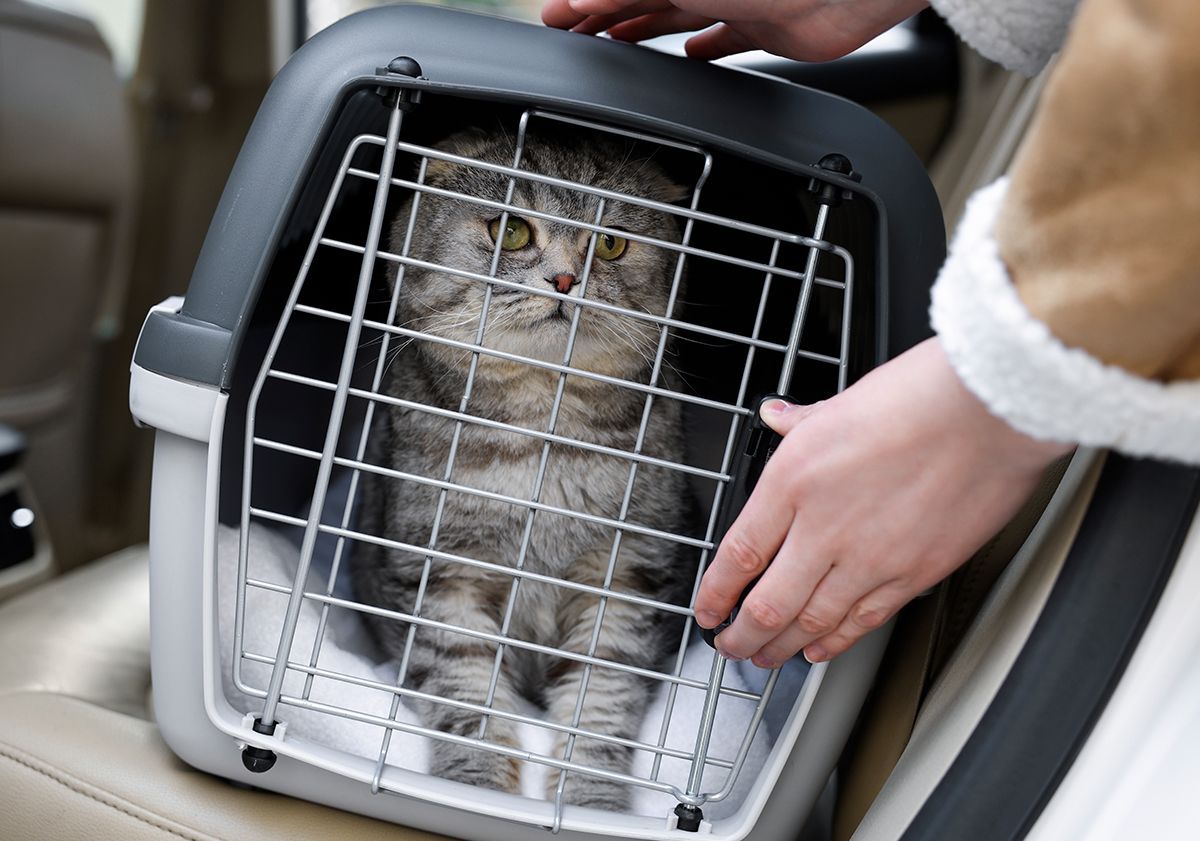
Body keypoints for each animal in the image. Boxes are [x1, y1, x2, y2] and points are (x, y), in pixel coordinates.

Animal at [350, 127, 696, 811]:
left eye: (611, 243)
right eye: (511, 231)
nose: (564, 279)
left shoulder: (626, 578)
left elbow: (600, 705)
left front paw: (591, 803)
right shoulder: (441, 576)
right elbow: (467, 696)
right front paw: (477, 784)